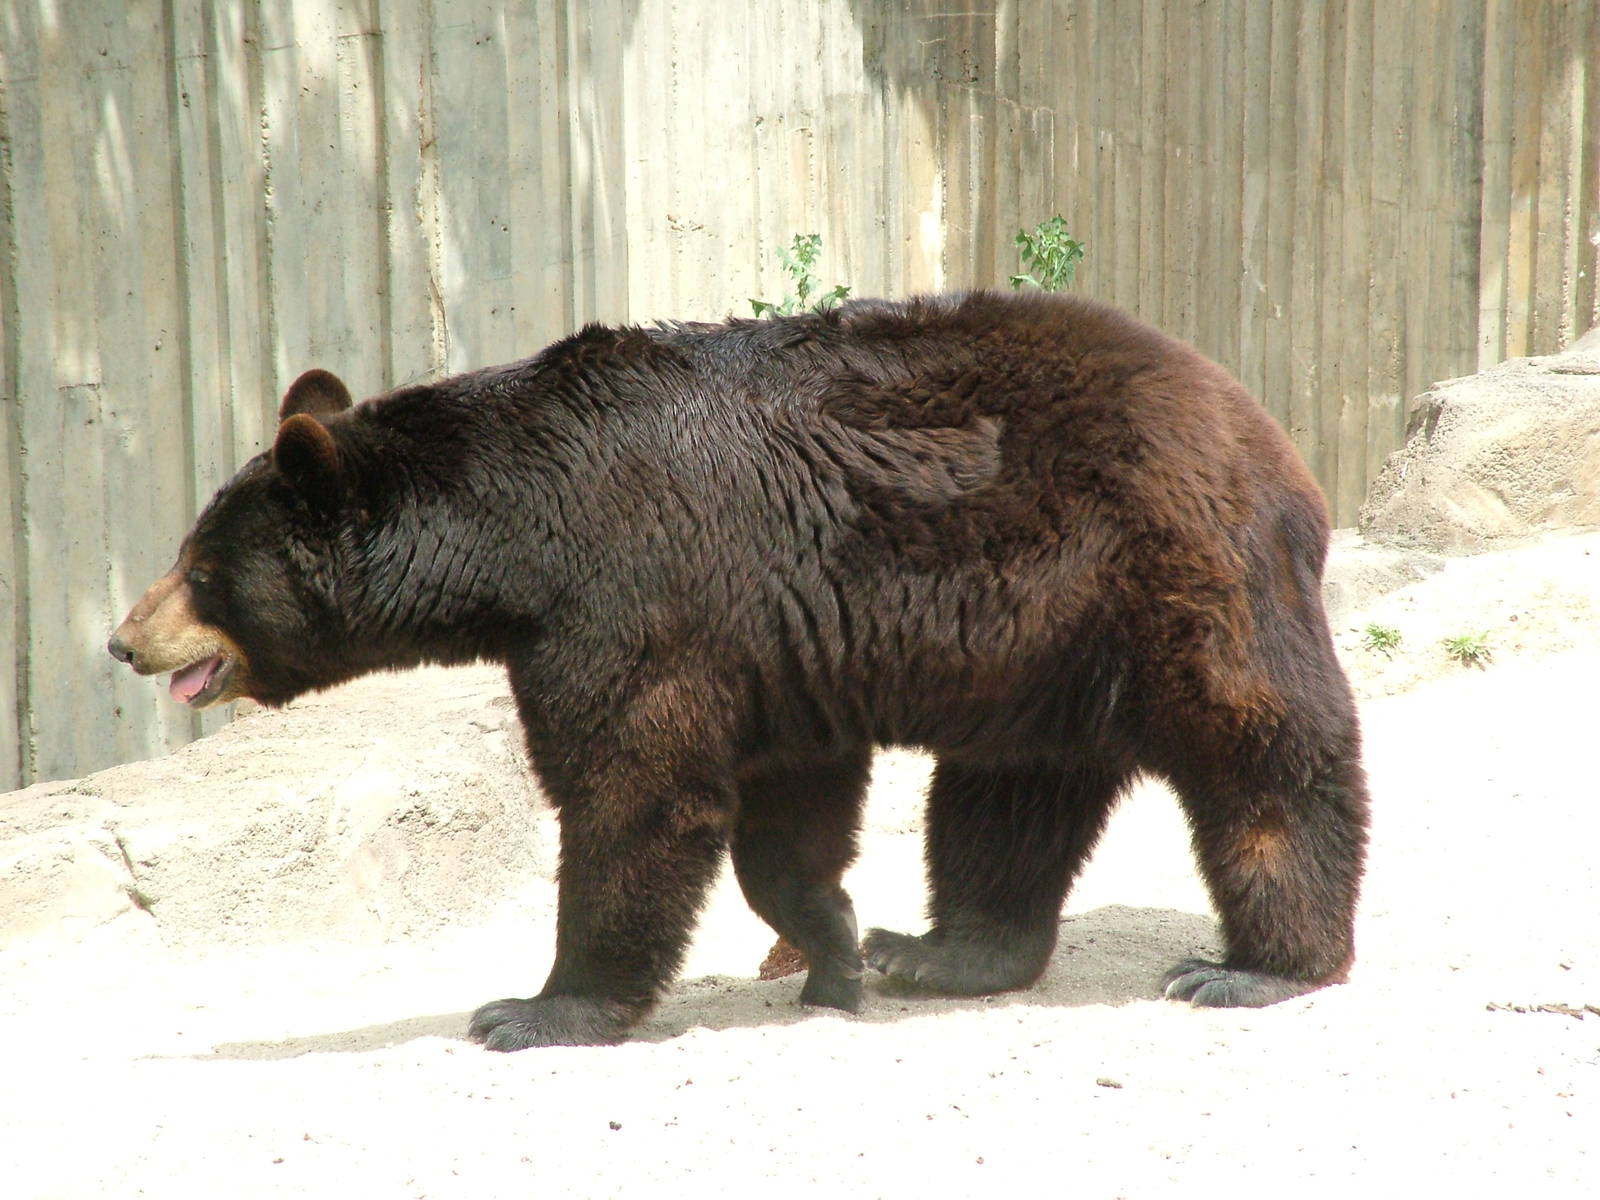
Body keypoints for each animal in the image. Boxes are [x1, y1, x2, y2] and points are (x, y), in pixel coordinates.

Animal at [108, 291, 1369, 1050]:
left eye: (200, 567)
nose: (124, 637)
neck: (515, 535)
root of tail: (1259, 424)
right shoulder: (769, 637)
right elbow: (787, 803)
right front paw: (832, 945)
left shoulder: (631, 595)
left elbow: (634, 790)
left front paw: (537, 1006)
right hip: (1037, 643)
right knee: (1007, 795)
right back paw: (940, 950)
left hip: (1171, 569)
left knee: (1263, 754)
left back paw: (1258, 965)